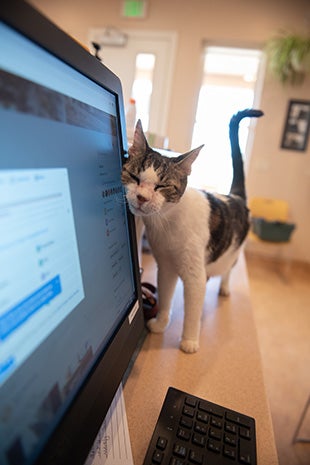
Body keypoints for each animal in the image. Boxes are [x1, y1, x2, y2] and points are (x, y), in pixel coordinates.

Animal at [122, 109, 262, 352]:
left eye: (161, 186)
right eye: (134, 177)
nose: (141, 197)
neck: (166, 222)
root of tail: (234, 196)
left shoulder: (194, 274)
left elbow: (192, 310)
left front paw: (189, 341)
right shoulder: (166, 267)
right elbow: (165, 296)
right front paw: (160, 323)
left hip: (233, 252)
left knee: (229, 268)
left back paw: (224, 287)